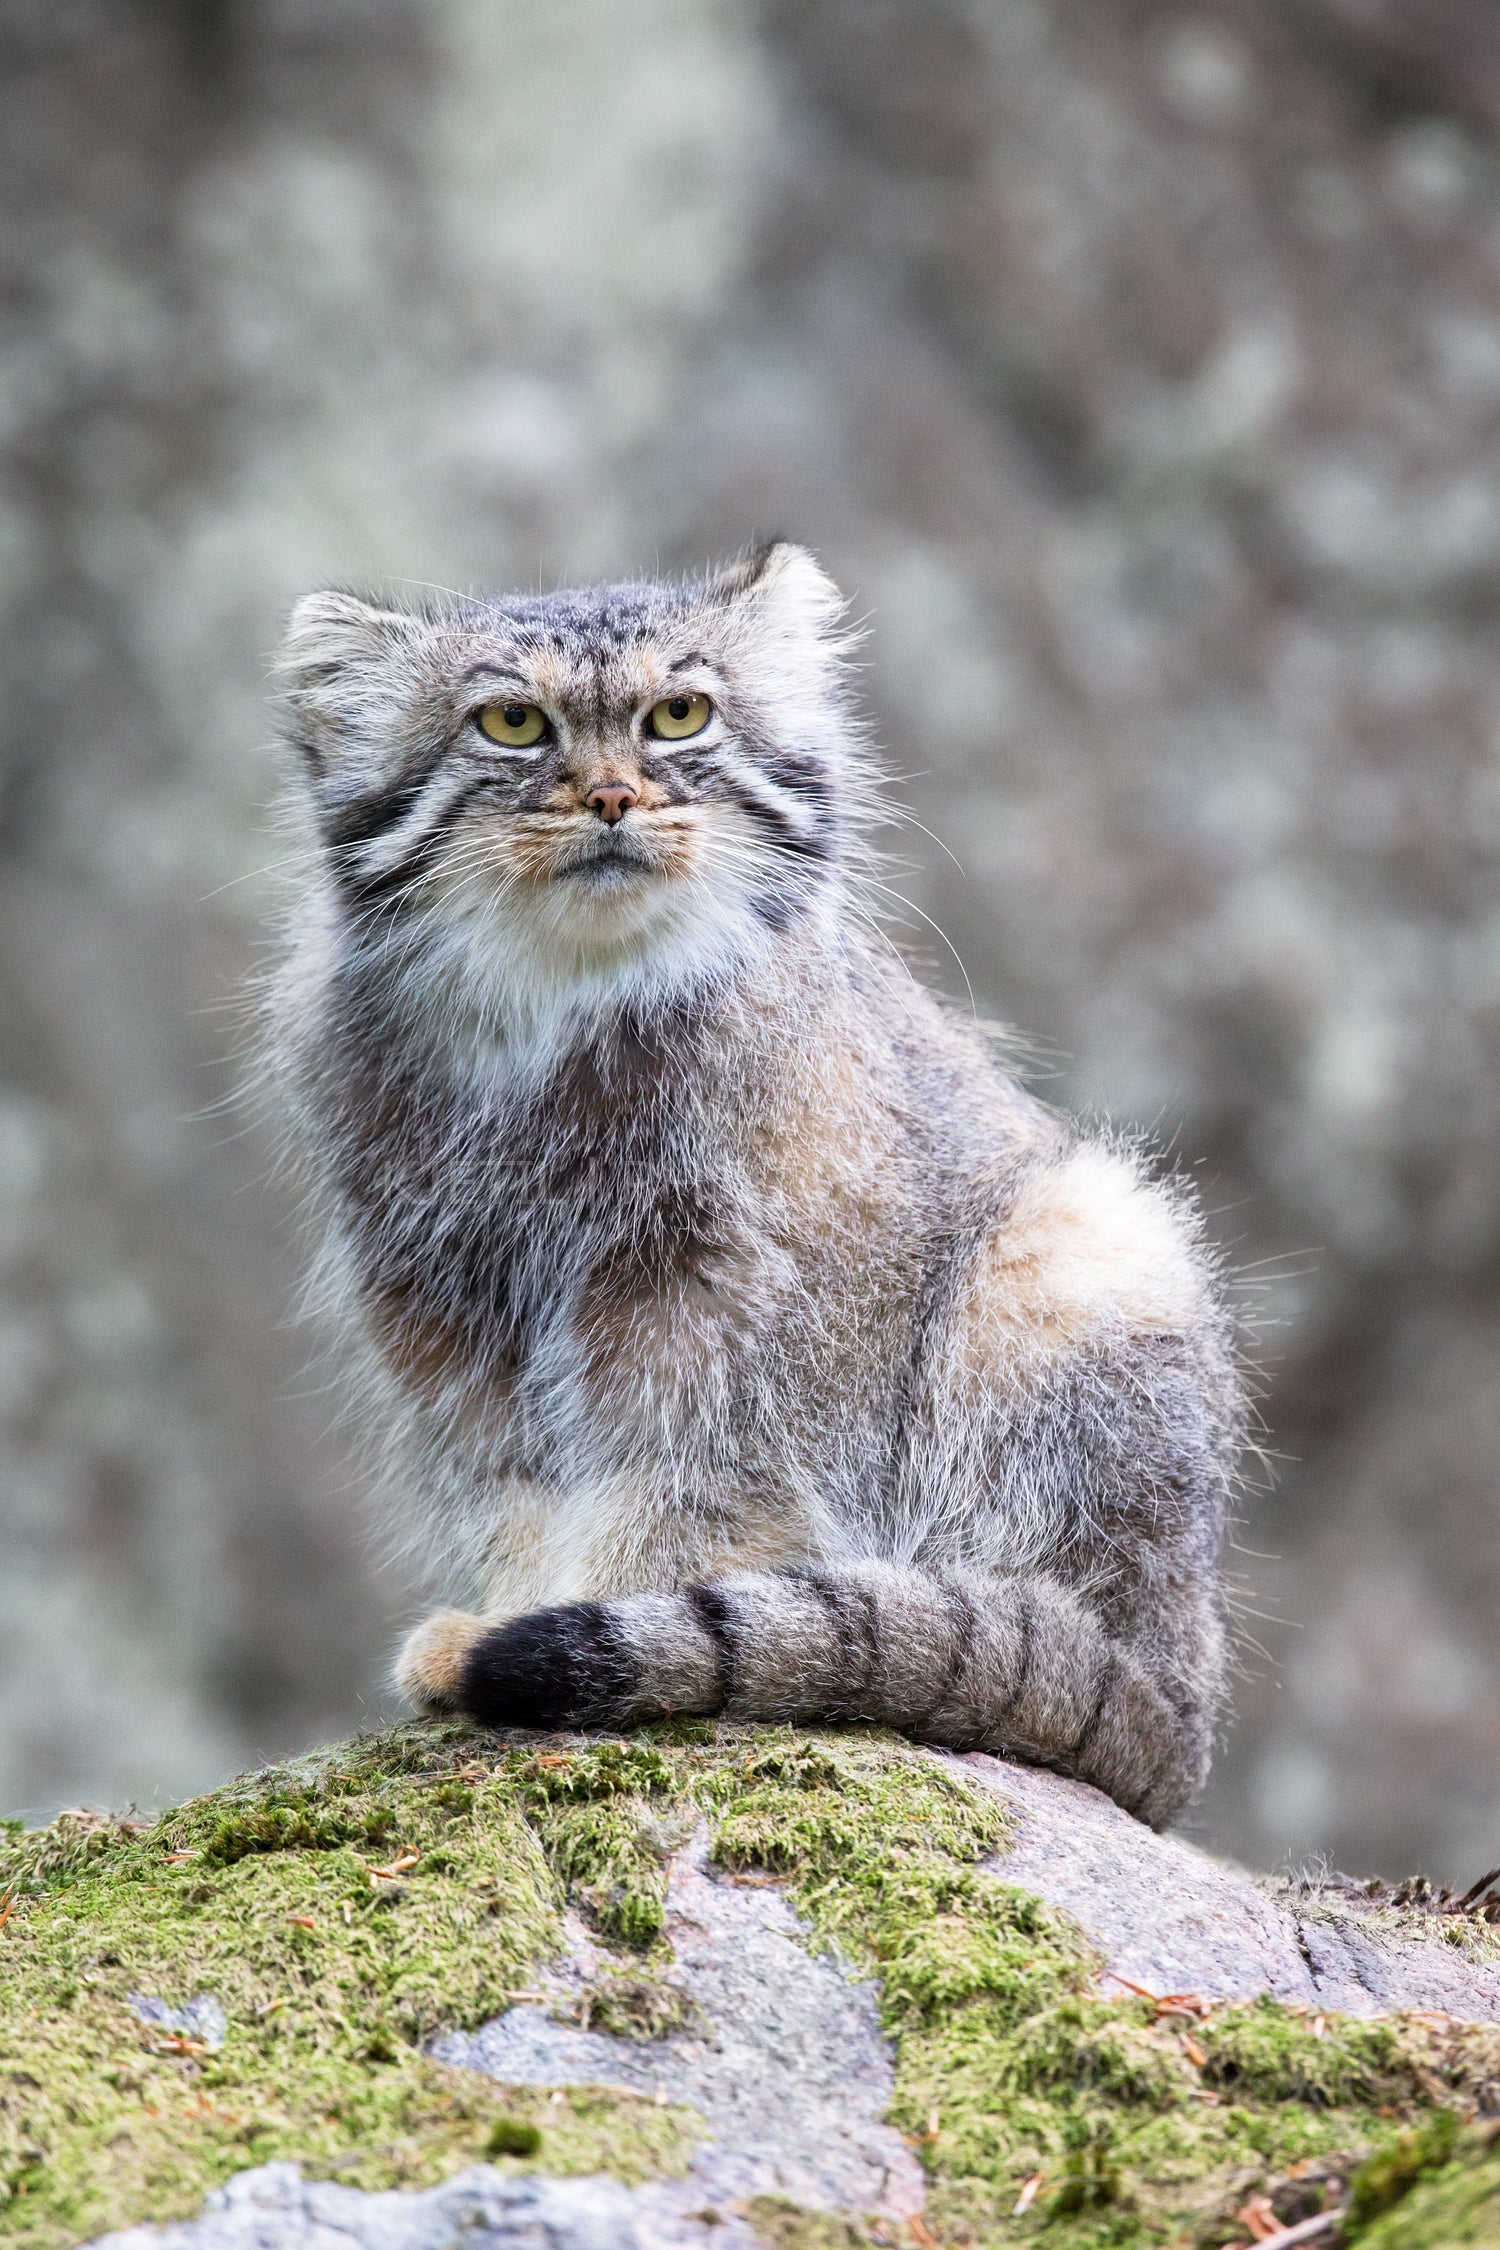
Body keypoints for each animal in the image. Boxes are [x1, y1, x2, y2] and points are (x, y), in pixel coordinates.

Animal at [273, 544, 1241, 1827]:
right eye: (511, 723)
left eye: (680, 715)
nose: (613, 799)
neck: (559, 1019)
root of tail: (1180, 1712)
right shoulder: (442, 1303)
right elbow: (515, 1490)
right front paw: (513, 1612)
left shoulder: (725, 1310)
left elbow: (676, 1489)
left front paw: (592, 1621)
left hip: (1081, 1246)